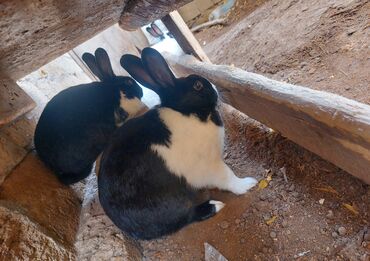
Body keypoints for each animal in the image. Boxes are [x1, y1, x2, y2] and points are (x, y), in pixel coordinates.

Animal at [97, 47, 256, 239]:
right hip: (171, 203)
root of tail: (131, 229)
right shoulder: (210, 165)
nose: (216, 88)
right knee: (186, 217)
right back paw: (214, 205)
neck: (185, 112)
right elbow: (228, 177)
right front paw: (247, 184)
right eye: (198, 85)